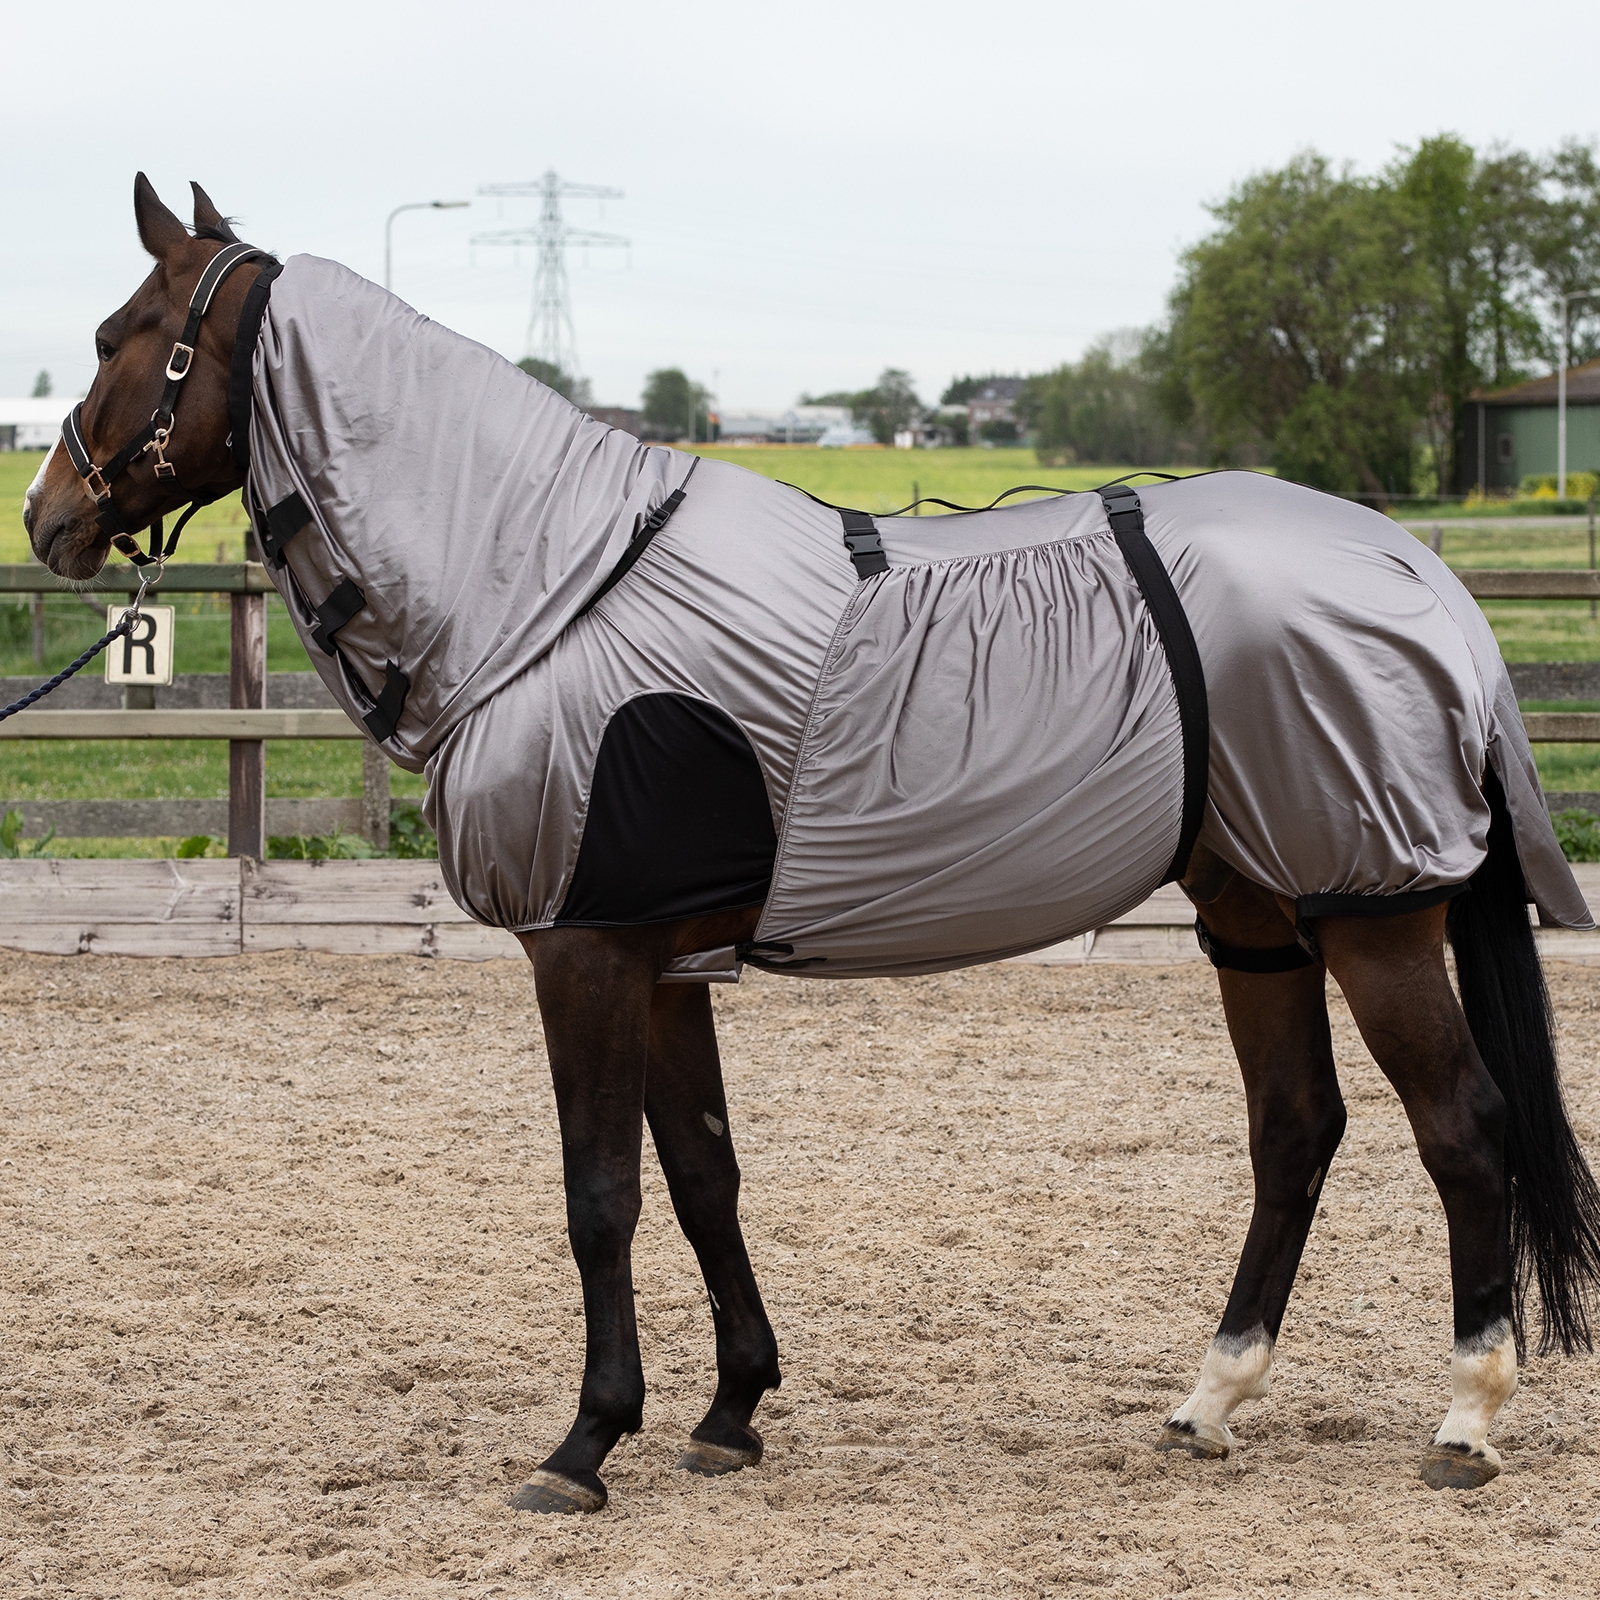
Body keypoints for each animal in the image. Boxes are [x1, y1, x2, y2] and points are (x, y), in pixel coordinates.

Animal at [22, 175, 1600, 1516]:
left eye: (119, 336)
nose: (48, 517)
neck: (551, 589)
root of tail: (1411, 568)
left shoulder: (583, 951)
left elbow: (599, 1194)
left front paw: (584, 1443)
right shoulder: (664, 962)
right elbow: (700, 1174)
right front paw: (728, 1412)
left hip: (1371, 909)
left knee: (1461, 1129)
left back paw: (1465, 1417)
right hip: (1257, 915)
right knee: (1296, 1130)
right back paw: (1210, 1398)